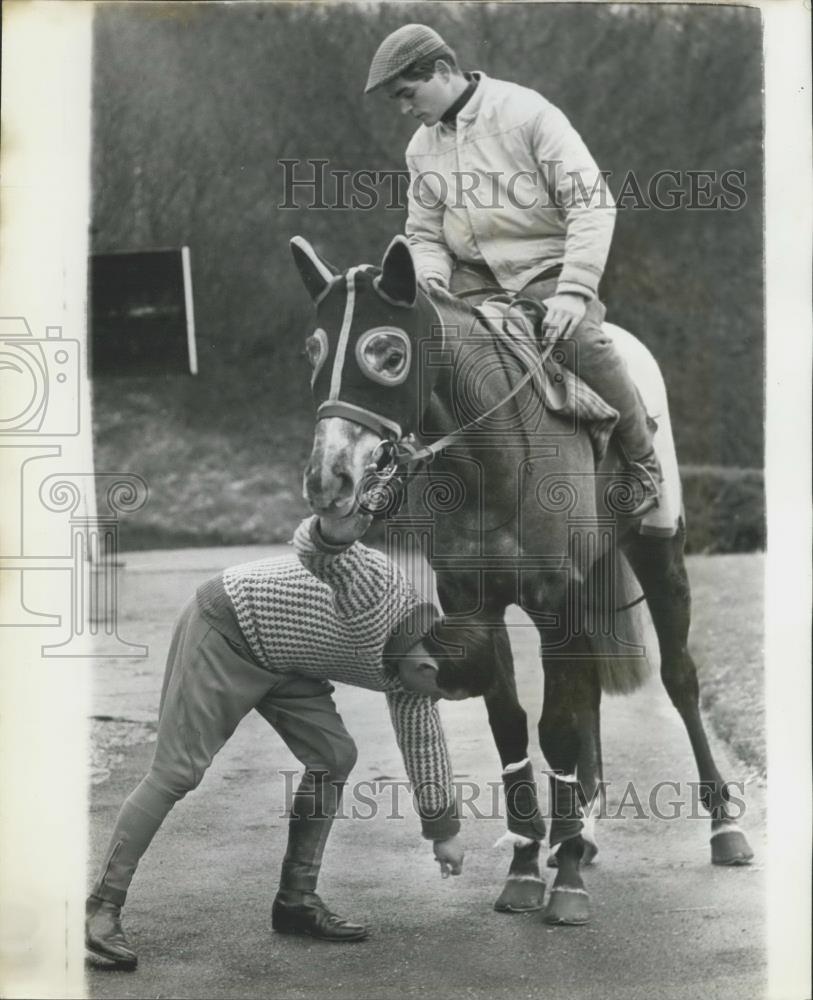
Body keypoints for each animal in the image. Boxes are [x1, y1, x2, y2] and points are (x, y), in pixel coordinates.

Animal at [288, 232, 752, 920]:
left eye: (388, 352)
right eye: (314, 350)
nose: (329, 479)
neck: (489, 459)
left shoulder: (555, 601)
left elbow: (554, 725)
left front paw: (566, 881)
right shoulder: (476, 603)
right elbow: (510, 722)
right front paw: (530, 861)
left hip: (660, 560)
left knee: (680, 680)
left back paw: (723, 828)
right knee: (589, 695)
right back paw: (581, 831)